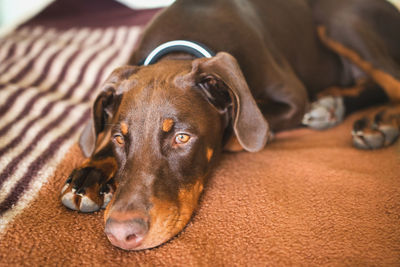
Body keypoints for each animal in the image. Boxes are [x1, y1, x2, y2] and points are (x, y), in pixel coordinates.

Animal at [61, 0, 400, 251]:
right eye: (120, 138)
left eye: (182, 138)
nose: (121, 234)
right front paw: (88, 175)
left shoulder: (292, 99)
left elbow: (238, 132)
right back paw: (334, 104)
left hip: (341, 20)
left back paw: (379, 121)